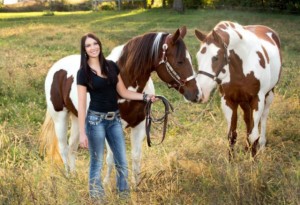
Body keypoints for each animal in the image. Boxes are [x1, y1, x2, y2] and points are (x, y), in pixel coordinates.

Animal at [195, 21, 282, 157]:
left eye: (216, 57)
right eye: (198, 56)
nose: (201, 92)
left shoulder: (257, 99)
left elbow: (254, 135)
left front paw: (253, 160)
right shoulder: (228, 101)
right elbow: (232, 135)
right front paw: (232, 160)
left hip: (269, 95)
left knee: (263, 117)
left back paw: (261, 145)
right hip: (244, 101)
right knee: (248, 119)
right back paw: (248, 147)